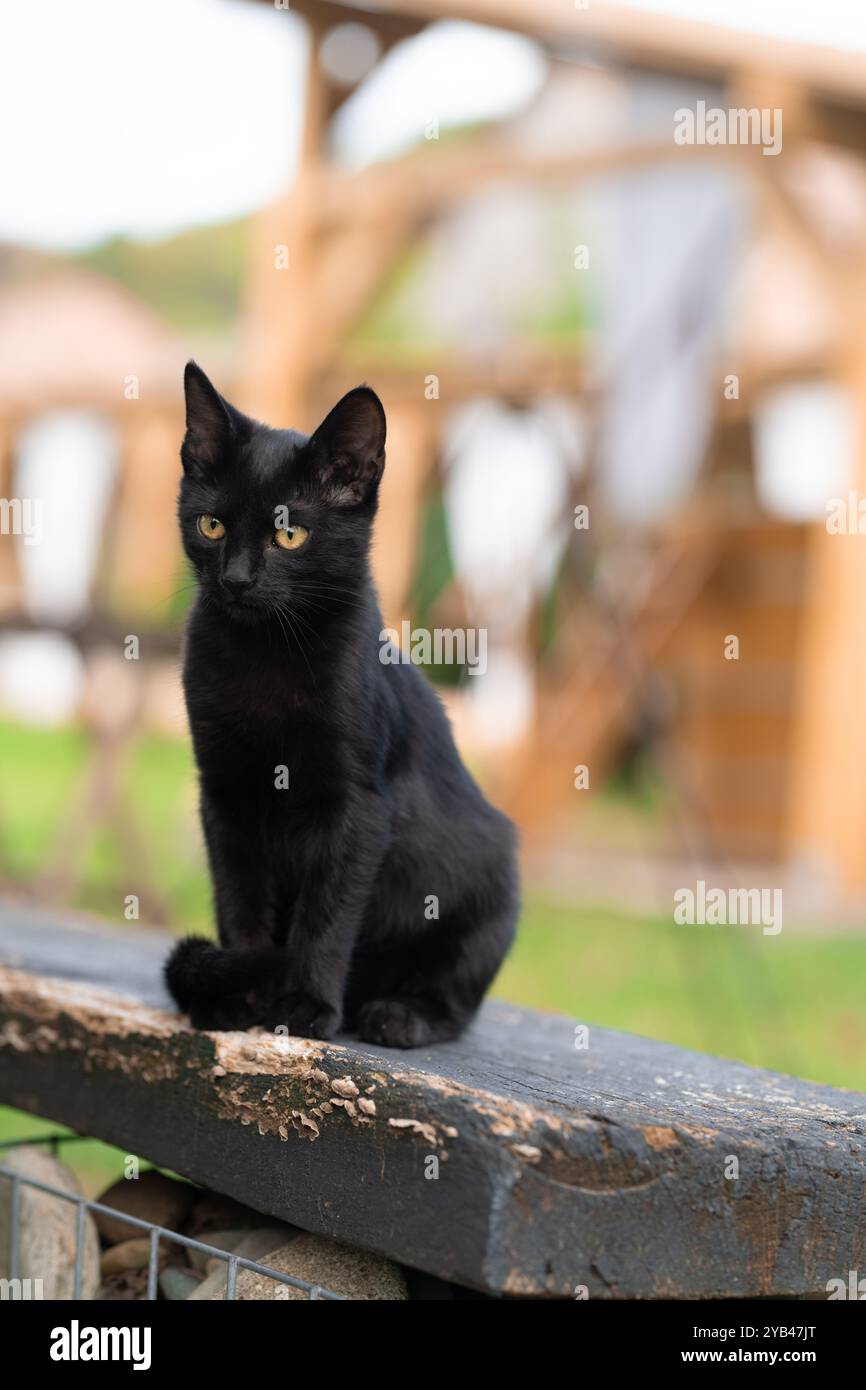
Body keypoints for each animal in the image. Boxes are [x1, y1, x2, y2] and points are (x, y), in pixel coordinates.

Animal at [163, 364, 517, 1045]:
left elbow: (326, 910)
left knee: (456, 1000)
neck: (266, 656)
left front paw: (304, 1004)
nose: (237, 580)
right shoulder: (222, 792)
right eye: (211, 526)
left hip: (490, 896)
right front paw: (236, 990)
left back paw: (395, 1014)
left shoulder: (359, 805)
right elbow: (239, 897)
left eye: (290, 534)